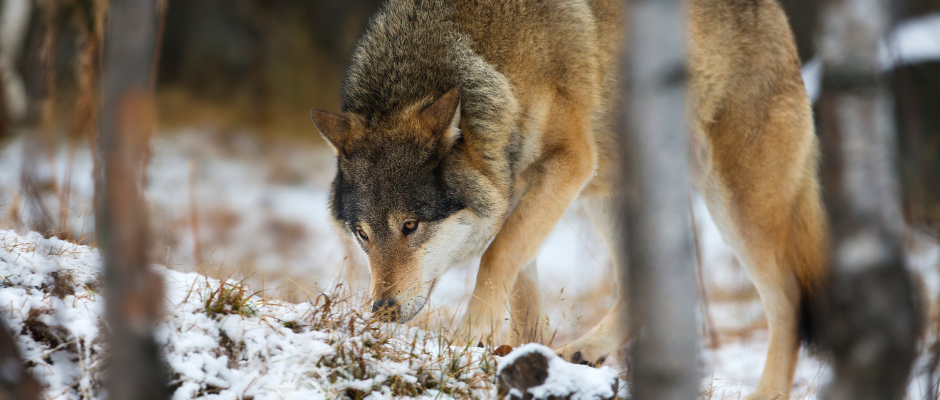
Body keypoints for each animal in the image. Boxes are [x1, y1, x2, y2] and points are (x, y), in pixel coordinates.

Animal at [311, 0, 827, 399]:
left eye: (410, 226)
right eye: (362, 234)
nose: (383, 311)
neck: (487, 57)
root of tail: (775, 14)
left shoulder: (569, 162)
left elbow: (497, 256)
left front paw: (473, 334)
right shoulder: (517, 189)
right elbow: (520, 287)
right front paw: (520, 358)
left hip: (736, 204)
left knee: (789, 302)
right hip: (611, 195)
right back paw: (584, 352)